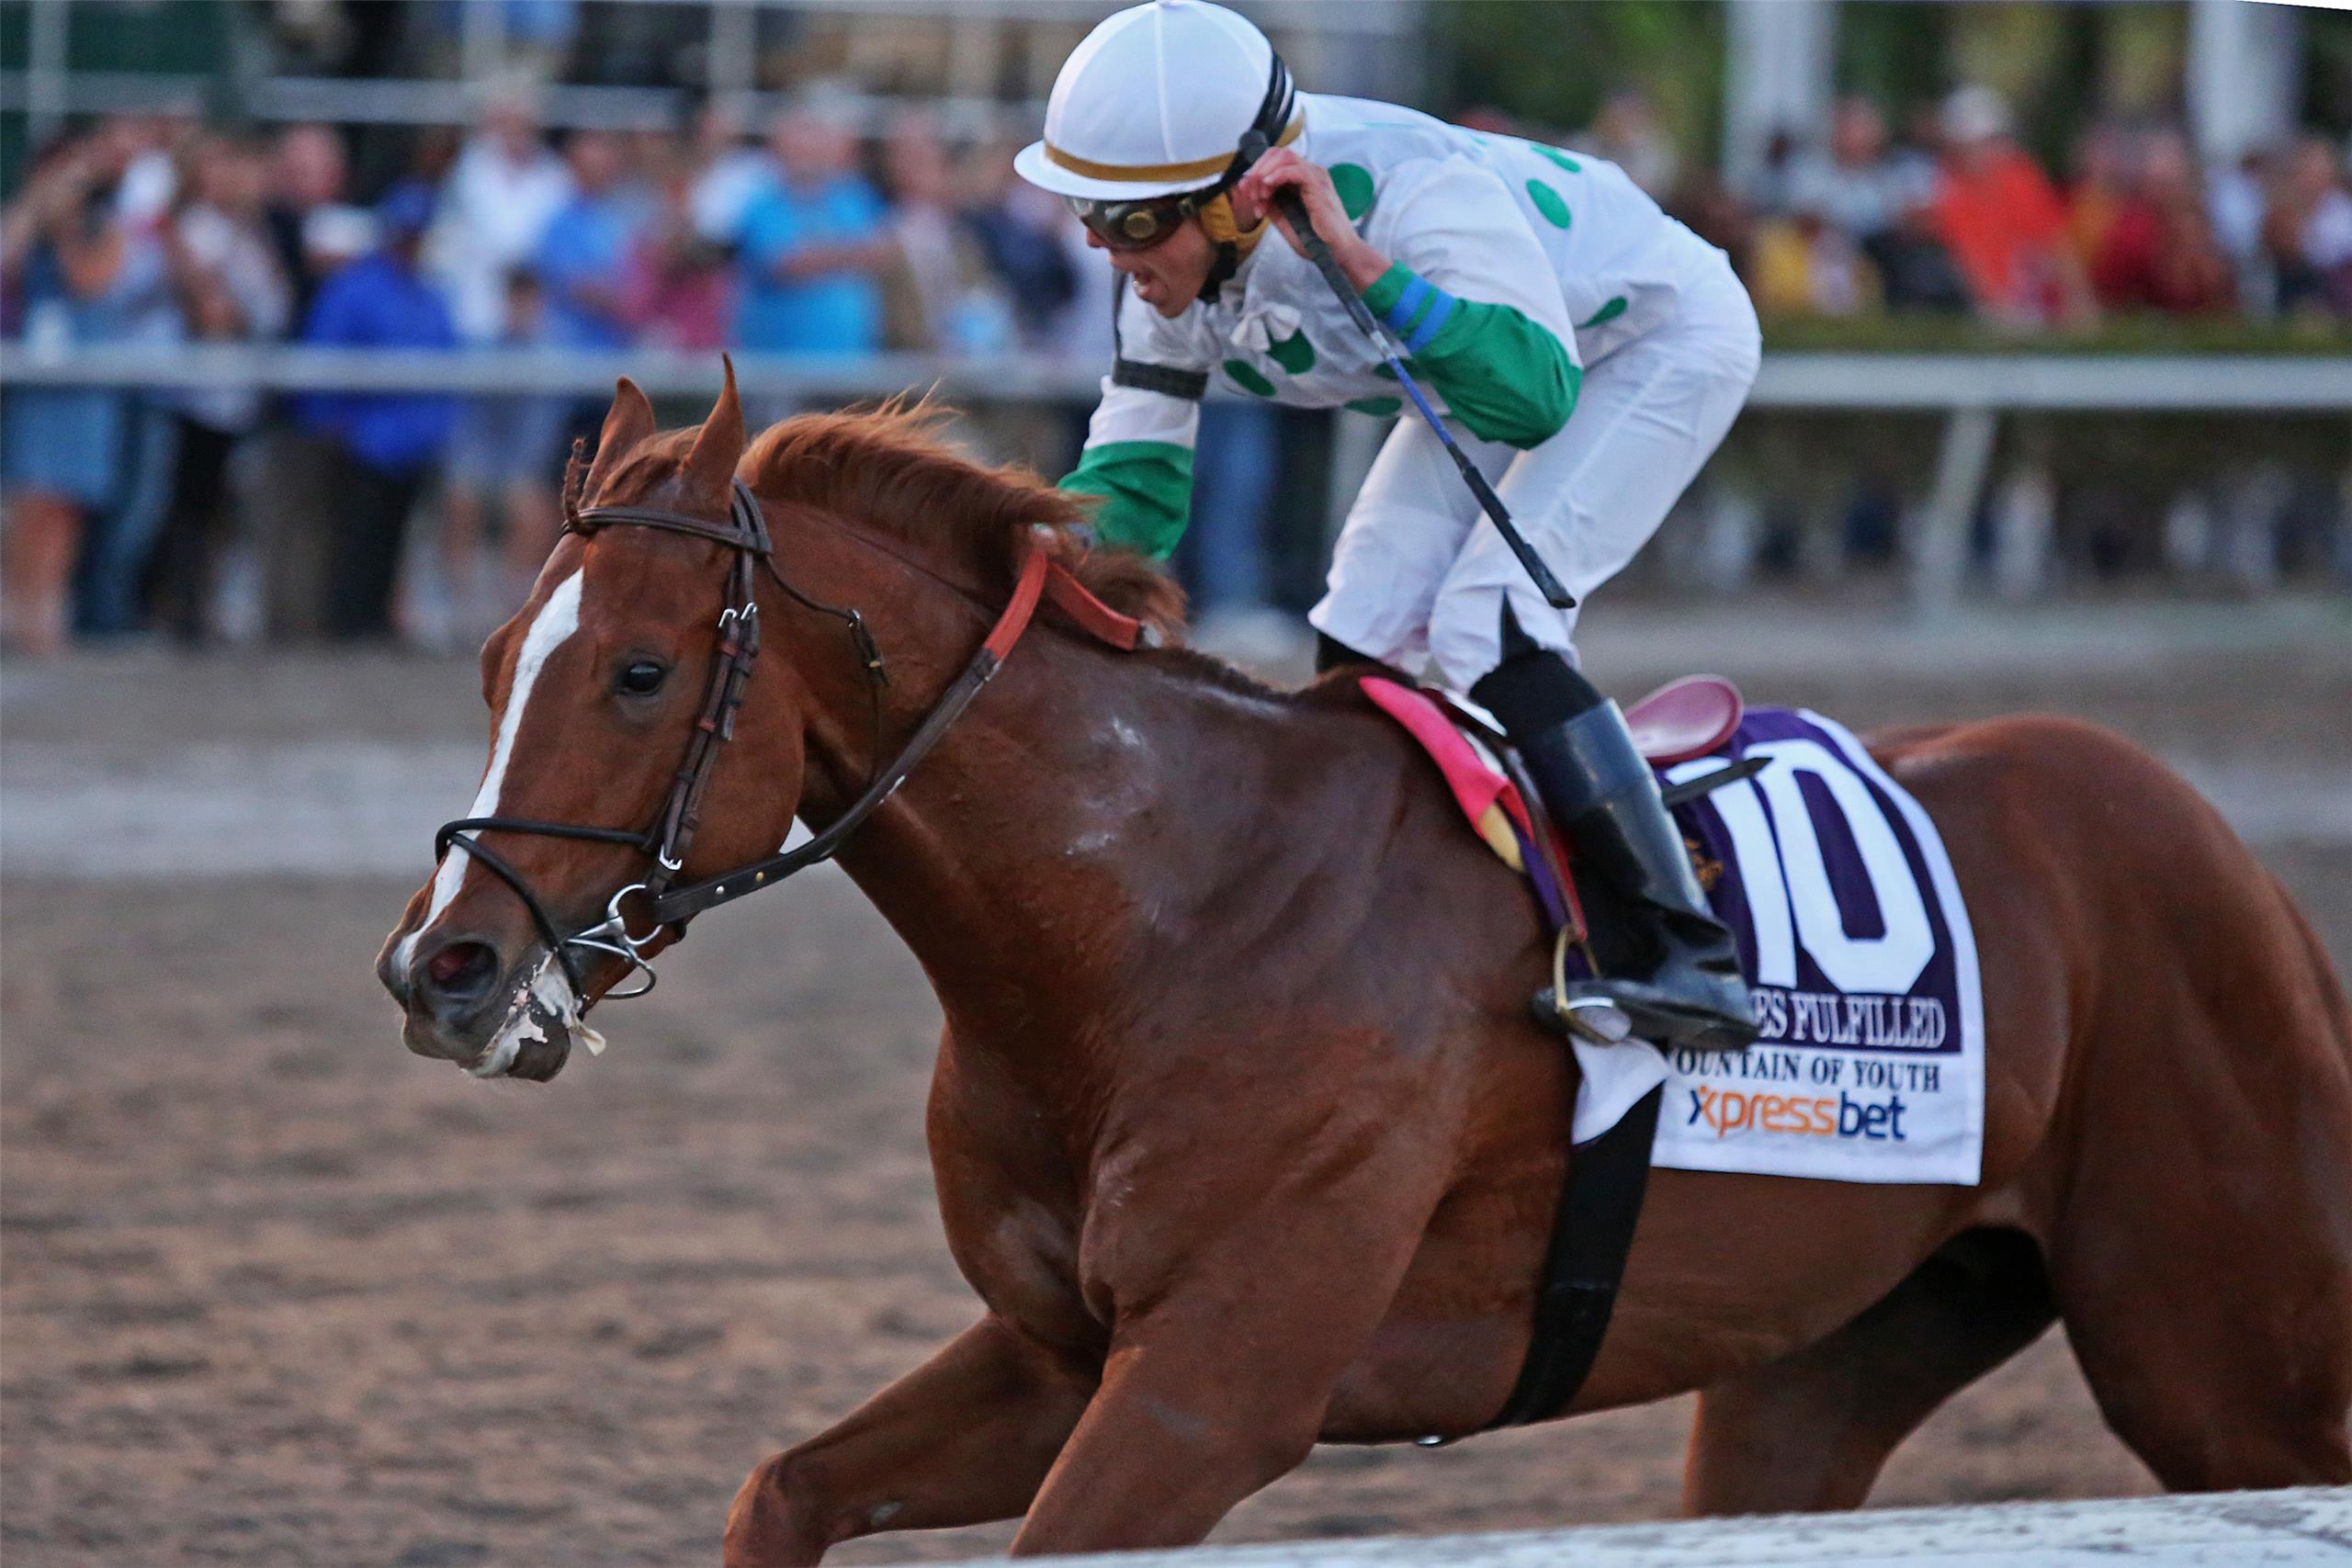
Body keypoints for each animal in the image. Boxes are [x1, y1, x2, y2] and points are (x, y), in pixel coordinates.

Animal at [378, 372, 2352, 1564]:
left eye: (639, 671)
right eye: (487, 658)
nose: (443, 968)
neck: (1152, 922)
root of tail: (2218, 848)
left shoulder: (1215, 1385)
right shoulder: (1060, 1353)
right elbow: (781, 1482)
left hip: (2219, 1355)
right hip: (1833, 1349)